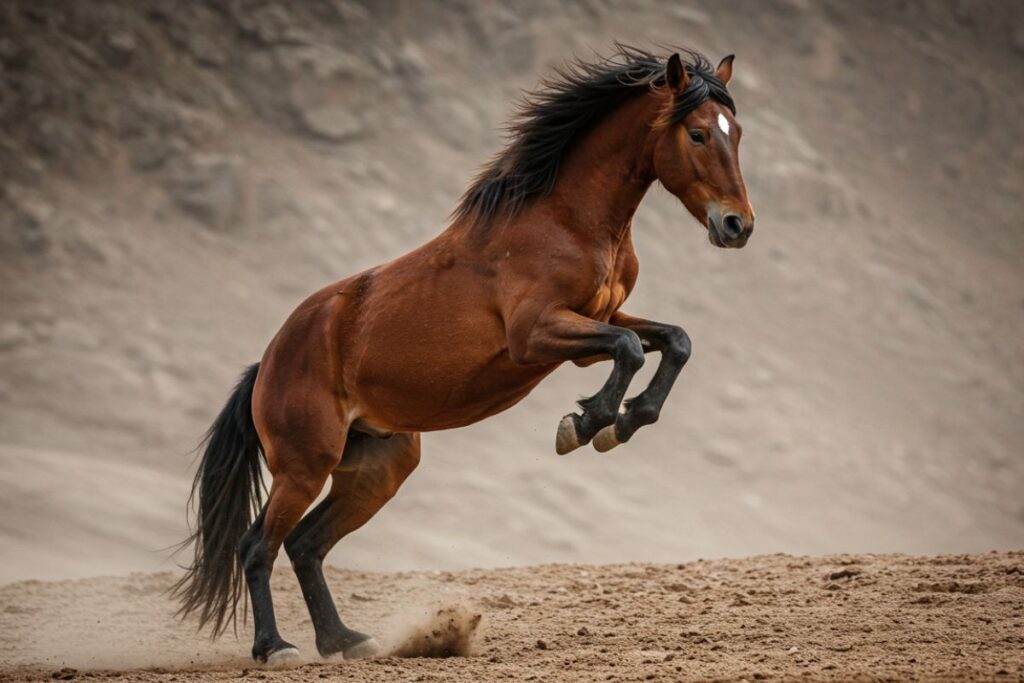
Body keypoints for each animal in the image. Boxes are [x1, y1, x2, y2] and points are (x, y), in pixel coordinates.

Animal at [173, 45, 754, 665]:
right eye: (697, 134)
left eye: (736, 132)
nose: (737, 225)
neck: (567, 219)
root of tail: (268, 364)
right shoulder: (536, 334)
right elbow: (630, 351)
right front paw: (584, 425)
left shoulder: (597, 325)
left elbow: (674, 341)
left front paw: (621, 423)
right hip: (304, 464)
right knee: (258, 544)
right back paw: (276, 648)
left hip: (377, 468)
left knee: (306, 544)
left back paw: (346, 641)